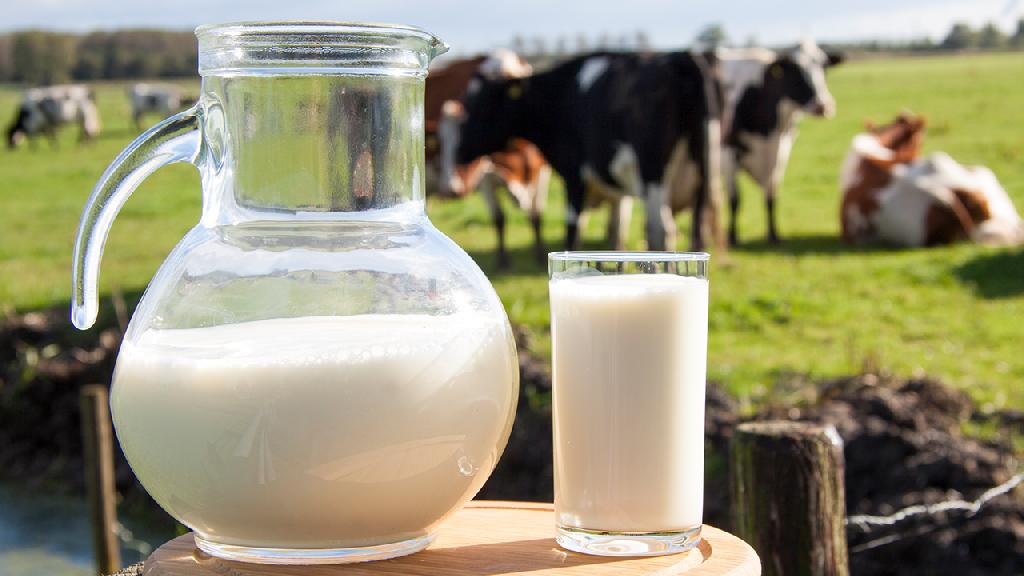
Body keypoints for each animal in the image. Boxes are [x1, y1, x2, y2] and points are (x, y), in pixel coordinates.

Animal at [452, 50, 724, 252]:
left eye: (482, 107)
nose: (459, 152)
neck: (557, 95)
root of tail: (681, 56)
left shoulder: (574, 174)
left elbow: (573, 231)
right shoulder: (617, 189)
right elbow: (615, 236)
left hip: (653, 171)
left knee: (661, 231)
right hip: (704, 169)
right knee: (696, 232)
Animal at [716, 39, 843, 241]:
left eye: (824, 67)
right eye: (795, 70)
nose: (823, 106)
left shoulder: (779, 151)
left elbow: (771, 196)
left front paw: (773, 235)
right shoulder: (728, 152)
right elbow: (735, 199)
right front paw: (733, 237)